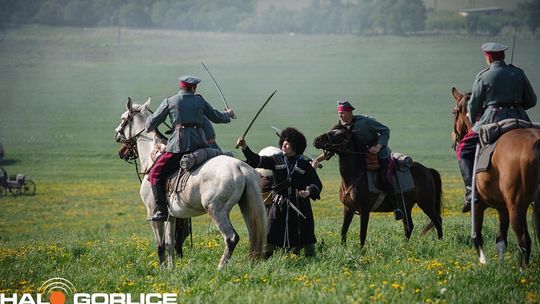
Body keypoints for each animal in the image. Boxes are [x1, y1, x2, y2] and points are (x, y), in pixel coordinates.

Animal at [114, 97, 268, 268]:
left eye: (123, 118)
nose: (116, 135)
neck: (153, 156)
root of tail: (240, 167)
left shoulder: (153, 212)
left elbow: (159, 245)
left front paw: (162, 269)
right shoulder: (171, 216)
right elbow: (169, 244)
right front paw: (171, 269)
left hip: (216, 210)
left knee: (231, 238)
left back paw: (220, 268)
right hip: (243, 207)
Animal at [312, 126, 442, 247]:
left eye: (339, 134)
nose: (316, 140)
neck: (353, 177)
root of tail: (427, 170)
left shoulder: (364, 210)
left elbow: (362, 233)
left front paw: (361, 251)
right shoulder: (348, 209)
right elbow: (343, 230)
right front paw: (343, 249)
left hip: (426, 203)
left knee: (437, 220)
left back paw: (440, 242)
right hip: (407, 205)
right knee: (409, 226)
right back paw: (404, 246)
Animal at [452, 86, 540, 268]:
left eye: (454, 112)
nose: (455, 138)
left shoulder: (478, 206)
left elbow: (477, 236)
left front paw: (483, 262)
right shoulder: (502, 208)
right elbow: (501, 241)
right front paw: (500, 266)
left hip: (516, 205)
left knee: (523, 239)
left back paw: (523, 271)